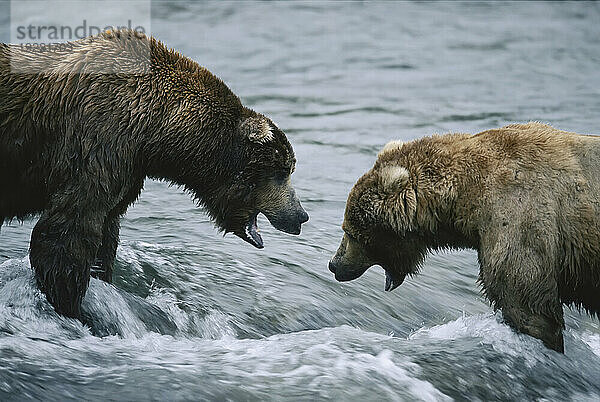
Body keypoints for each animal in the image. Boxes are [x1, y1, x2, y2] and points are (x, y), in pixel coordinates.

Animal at [0, 30, 308, 320]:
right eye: (282, 171)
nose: (300, 215)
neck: (154, 133)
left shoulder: (127, 171)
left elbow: (105, 234)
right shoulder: (98, 147)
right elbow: (66, 232)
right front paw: (72, 306)